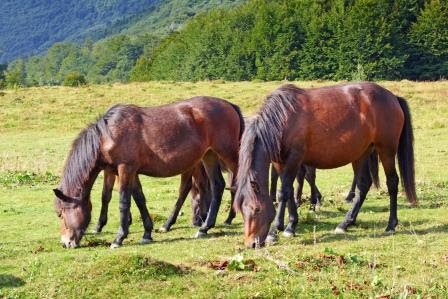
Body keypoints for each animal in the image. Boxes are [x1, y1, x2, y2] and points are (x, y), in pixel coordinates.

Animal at [53, 97, 243, 250]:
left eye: (61, 213)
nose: (65, 243)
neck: (108, 135)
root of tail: (229, 105)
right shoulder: (131, 172)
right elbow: (139, 200)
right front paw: (147, 233)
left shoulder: (125, 169)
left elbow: (124, 202)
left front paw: (119, 238)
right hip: (209, 155)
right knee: (217, 186)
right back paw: (204, 228)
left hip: (228, 154)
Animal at [234, 82, 416, 248]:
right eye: (241, 210)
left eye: (256, 209)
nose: (251, 243)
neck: (282, 119)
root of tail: (393, 97)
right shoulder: (280, 162)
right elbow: (290, 191)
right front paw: (291, 225)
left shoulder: (294, 158)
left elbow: (283, 192)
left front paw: (275, 230)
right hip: (361, 153)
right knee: (363, 185)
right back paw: (346, 223)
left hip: (386, 150)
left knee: (392, 182)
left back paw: (391, 224)